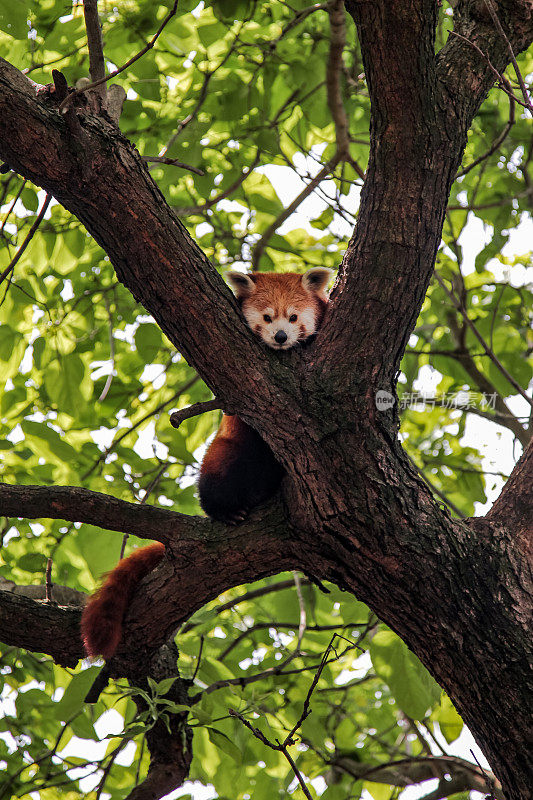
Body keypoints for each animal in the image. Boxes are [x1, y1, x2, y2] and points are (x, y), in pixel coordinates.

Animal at [80, 266, 330, 660]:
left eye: (293, 317)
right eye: (267, 318)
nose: (280, 337)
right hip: (229, 451)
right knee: (217, 475)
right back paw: (226, 511)